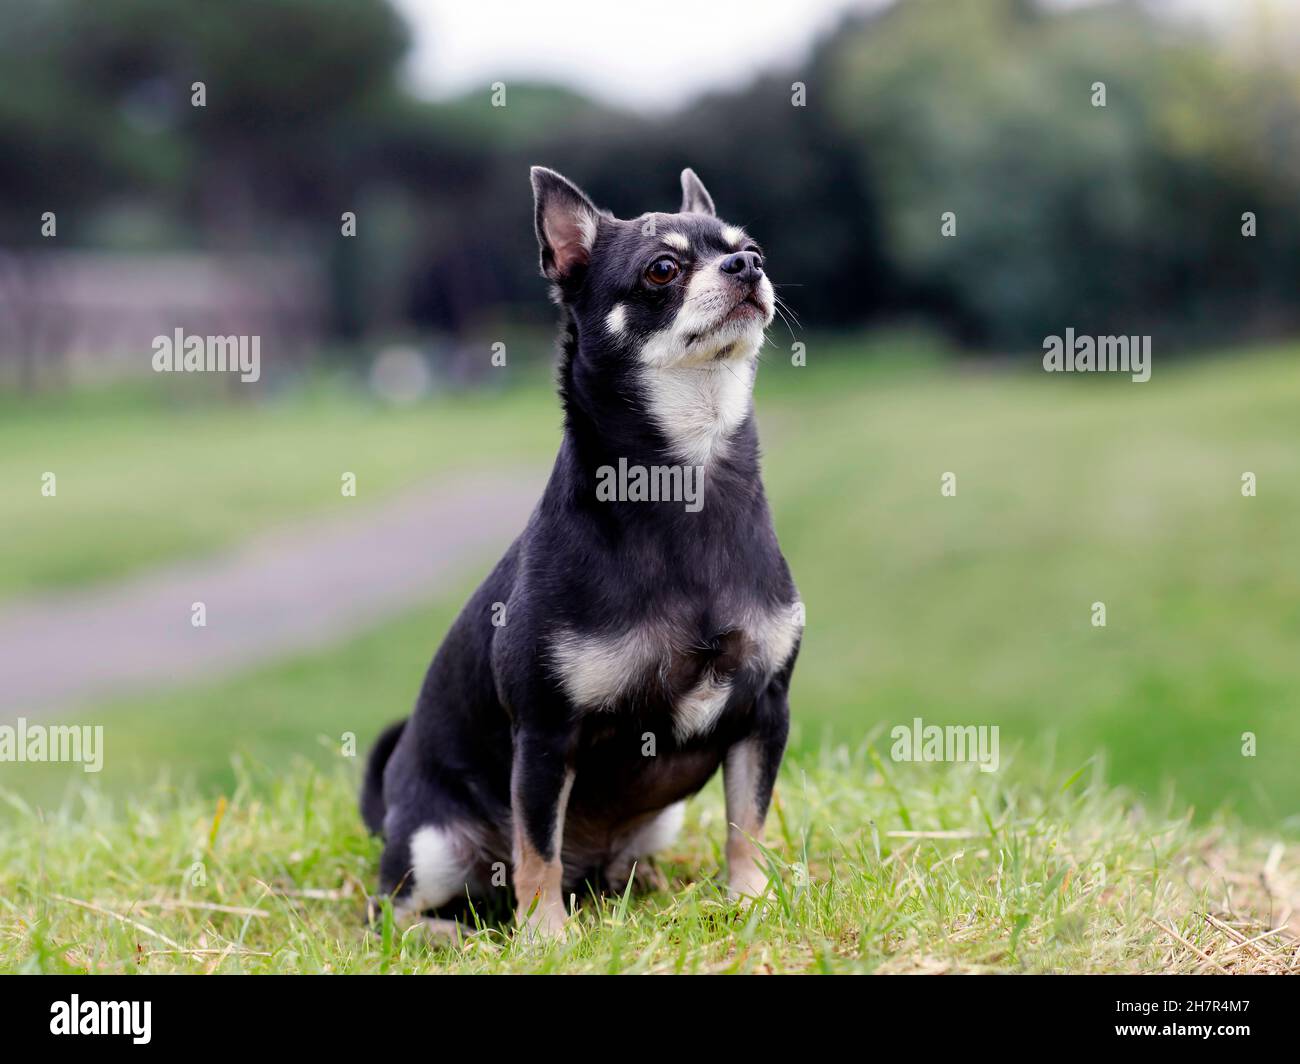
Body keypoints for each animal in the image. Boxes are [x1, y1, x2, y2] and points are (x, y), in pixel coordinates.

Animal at [361, 165, 795, 936]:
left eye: (752, 249)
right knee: (392, 908)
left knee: (607, 864)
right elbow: (538, 849)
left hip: (655, 823)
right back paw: (453, 933)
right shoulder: (544, 735)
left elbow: (748, 823)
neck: (688, 471)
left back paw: (643, 882)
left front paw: (749, 899)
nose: (747, 268)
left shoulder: (764, 713)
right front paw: (545, 938)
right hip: (433, 845)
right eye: (662, 269)